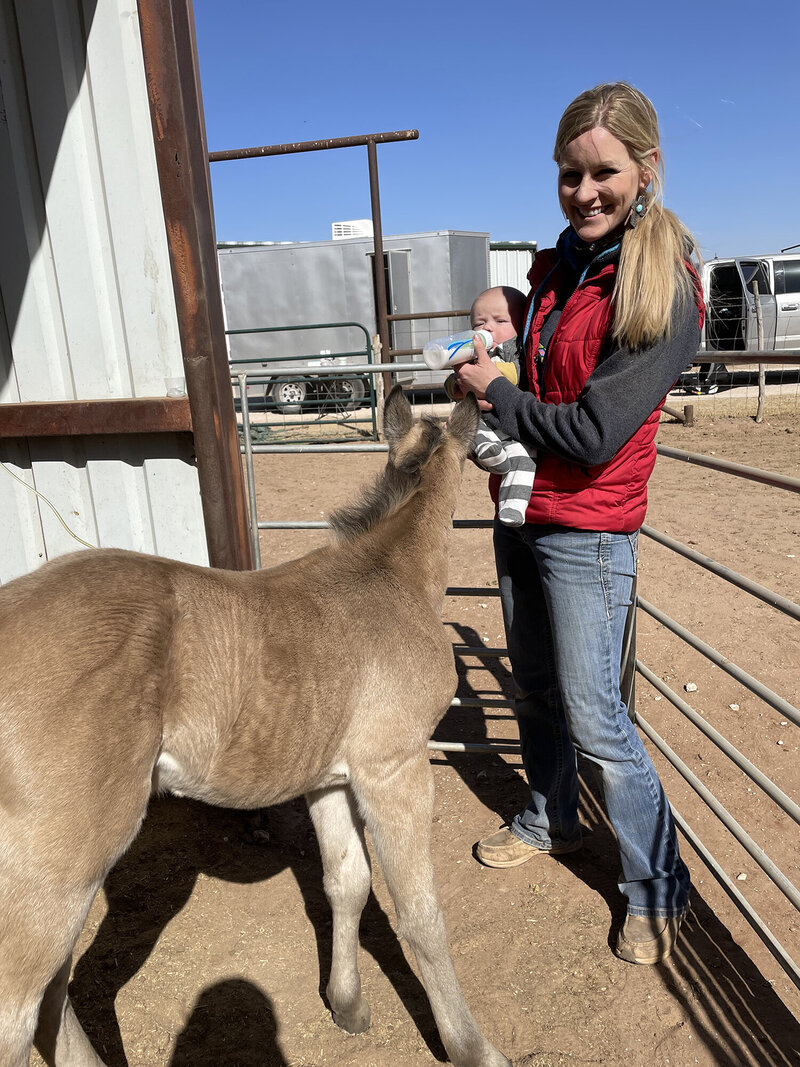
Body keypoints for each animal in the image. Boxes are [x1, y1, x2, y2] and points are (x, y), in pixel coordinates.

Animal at [0, 386, 509, 1067]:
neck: (390, 577)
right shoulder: (395, 767)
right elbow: (421, 915)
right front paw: (473, 1048)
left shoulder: (328, 778)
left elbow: (346, 882)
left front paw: (347, 1005)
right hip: (56, 866)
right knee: (25, 1007)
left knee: (52, 994)